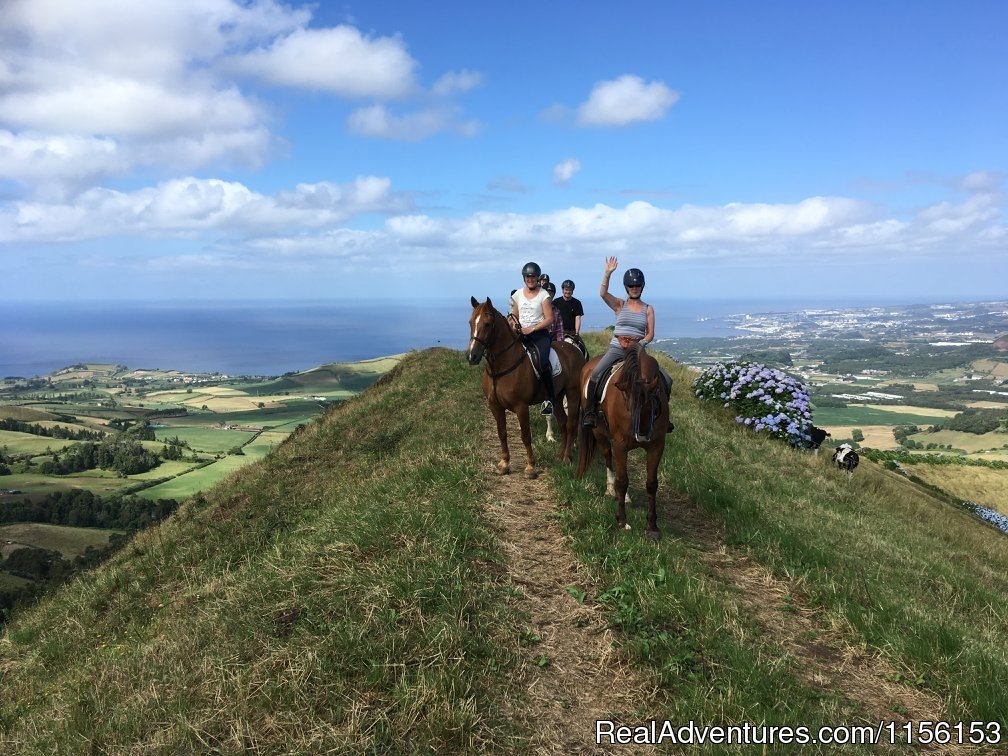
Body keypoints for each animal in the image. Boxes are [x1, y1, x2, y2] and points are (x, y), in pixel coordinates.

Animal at [467, 298, 588, 479]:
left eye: (487, 324)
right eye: (470, 322)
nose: (472, 356)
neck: (502, 366)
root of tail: (574, 349)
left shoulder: (521, 406)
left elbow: (525, 436)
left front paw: (531, 467)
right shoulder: (495, 406)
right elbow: (502, 433)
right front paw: (504, 464)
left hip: (572, 394)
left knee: (571, 425)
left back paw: (567, 458)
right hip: (558, 396)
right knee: (562, 423)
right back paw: (559, 456)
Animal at [576, 342, 669, 540]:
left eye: (654, 402)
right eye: (627, 402)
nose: (641, 435)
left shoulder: (657, 445)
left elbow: (652, 483)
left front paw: (652, 526)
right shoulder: (620, 445)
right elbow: (622, 481)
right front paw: (621, 521)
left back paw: (625, 497)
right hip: (599, 433)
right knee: (608, 458)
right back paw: (611, 489)